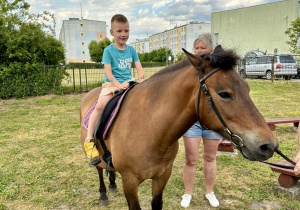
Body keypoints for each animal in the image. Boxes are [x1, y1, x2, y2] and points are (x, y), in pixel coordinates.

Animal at [80, 45, 278, 209]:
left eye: (247, 89)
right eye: (224, 94)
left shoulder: (162, 176)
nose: (269, 145)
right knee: (99, 169)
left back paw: (112, 185)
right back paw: (103, 194)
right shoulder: (130, 182)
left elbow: (157, 204)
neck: (148, 128)